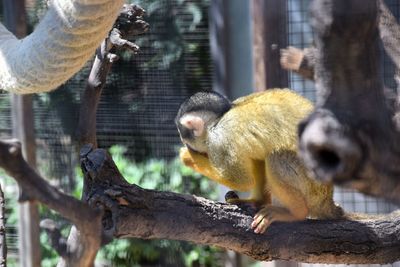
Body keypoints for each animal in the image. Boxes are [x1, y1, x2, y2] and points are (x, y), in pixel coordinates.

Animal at [176, 89, 344, 234]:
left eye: (189, 144)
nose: (200, 152)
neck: (219, 119)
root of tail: (327, 200)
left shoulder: (221, 139)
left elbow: (240, 181)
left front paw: (187, 157)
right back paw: (257, 201)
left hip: (312, 186)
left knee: (276, 157)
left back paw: (295, 213)